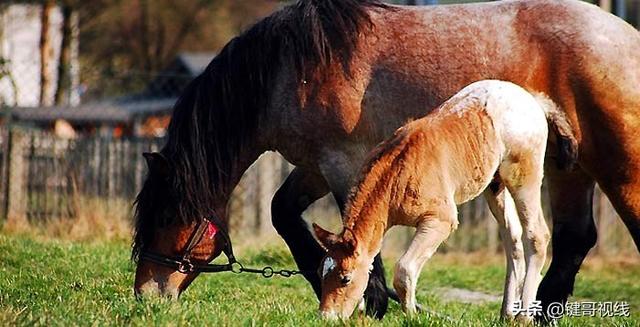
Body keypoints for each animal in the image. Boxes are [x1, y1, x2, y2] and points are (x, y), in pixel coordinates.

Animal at [316, 80, 580, 322]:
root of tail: (533, 101)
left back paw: (524, 316)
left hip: (523, 177)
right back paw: (506, 313)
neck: (398, 173)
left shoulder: (441, 220)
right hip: (495, 186)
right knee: (512, 239)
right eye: (322, 272)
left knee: (537, 235)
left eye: (345, 278)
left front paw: (412, 316)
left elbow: (404, 269)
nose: (325, 317)